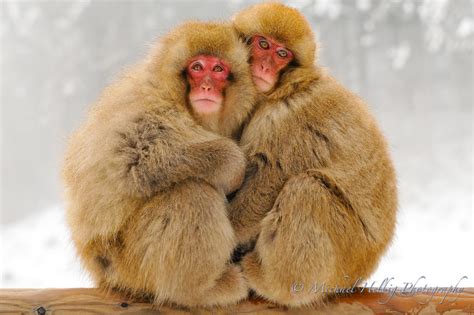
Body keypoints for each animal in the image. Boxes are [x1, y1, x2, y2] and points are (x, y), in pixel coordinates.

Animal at [62, 21, 260, 308]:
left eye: (218, 69)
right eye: (197, 67)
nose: (207, 87)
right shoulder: (147, 102)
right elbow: (129, 160)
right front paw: (230, 163)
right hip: (130, 265)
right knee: (192, 194)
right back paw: (201, 290)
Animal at [229, 2, 396, 308]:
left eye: (282, 54)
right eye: (263, 44)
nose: (265, 66)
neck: (286, 88)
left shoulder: (286, 121)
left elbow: (268, 182)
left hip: (346, 254)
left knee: (308, 189)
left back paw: (272, 282)